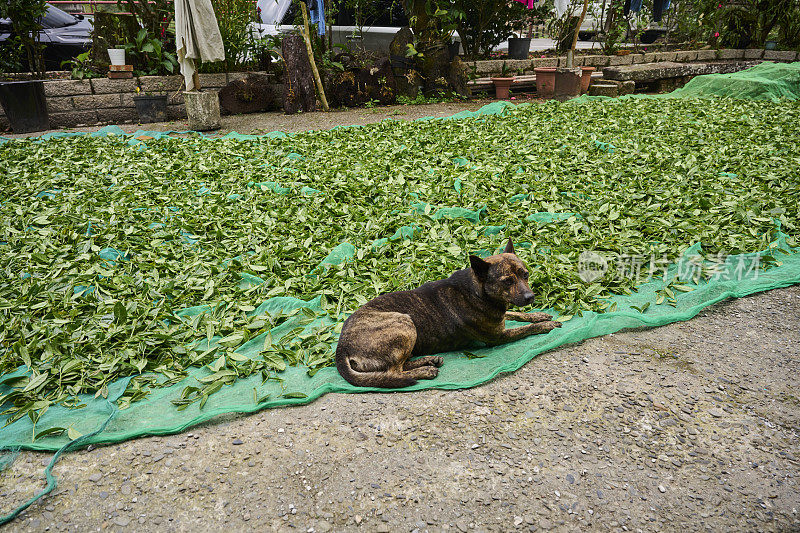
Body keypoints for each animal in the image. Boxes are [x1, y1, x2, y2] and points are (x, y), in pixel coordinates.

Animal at [336, 240, 564, 386]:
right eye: (507, 281)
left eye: (526, 275)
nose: (530, 297)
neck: (478, 290)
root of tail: (341, 347)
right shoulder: (498, 336)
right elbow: (526, 329)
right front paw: (545, 325)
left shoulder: (498, 316)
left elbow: (516, 315)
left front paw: (539, 315)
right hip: (404, 322)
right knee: (394, 371)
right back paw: (425, 371)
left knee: (399, 365)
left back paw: (429, 360)